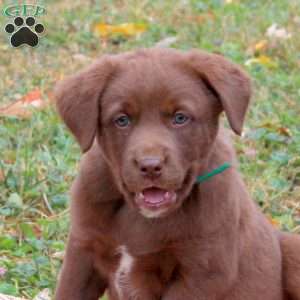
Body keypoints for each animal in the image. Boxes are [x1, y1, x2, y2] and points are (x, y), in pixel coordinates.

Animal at [54, 48, 300, 298]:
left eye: (180, 118)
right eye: (122, 120)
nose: (150, 165)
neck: (140, 216)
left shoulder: (204, 271)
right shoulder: (83, 249)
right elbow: (68, 291)